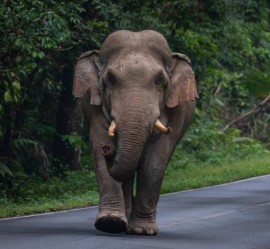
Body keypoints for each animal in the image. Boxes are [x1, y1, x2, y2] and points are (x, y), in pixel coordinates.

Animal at [73, 30, 197, 234]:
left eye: (159, 80)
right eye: (111, 79)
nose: (109, 151)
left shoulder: (175, 112)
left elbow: (155, 161)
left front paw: (142, 230)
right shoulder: (94, 107)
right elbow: (99, 144)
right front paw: (110, 223)